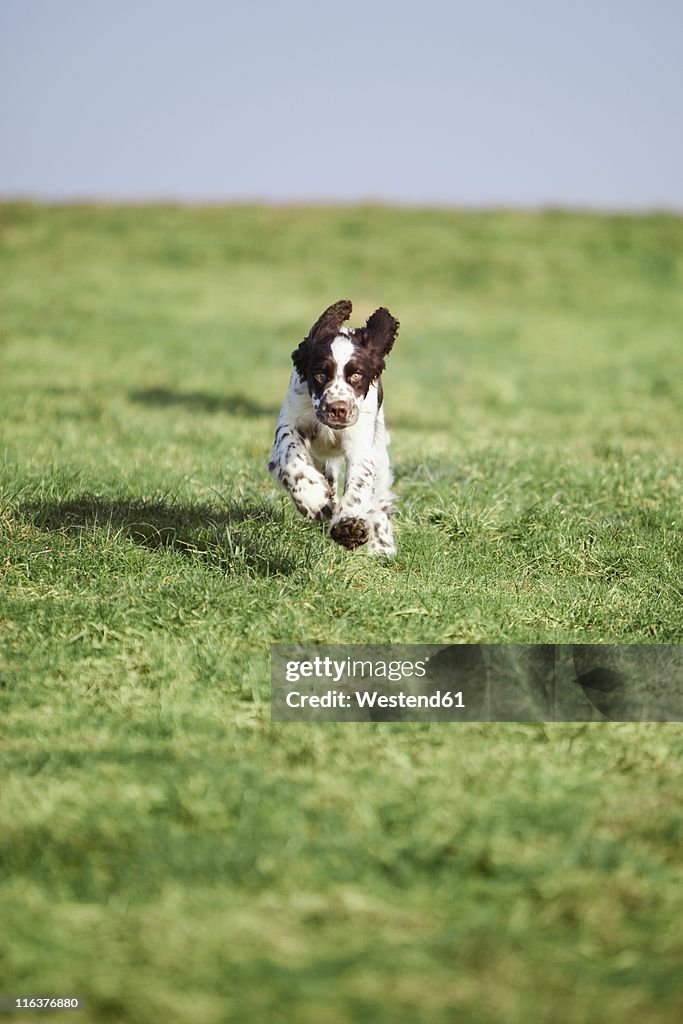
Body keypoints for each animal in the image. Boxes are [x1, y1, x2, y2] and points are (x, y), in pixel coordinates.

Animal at [268, 299, 401, 557]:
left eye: (357, 375)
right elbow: (291, 459)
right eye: (320, 374)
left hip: (379, 449)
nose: (338, 408)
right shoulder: (291, 422)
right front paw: (314, 500)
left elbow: (360, 482)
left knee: (379, 496)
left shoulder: (360, 441)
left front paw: (349, 526)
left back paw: (382, 547)